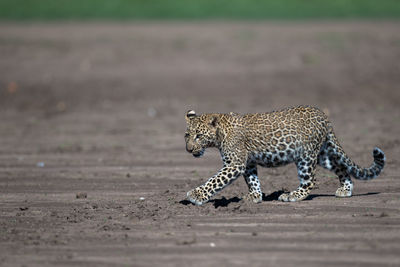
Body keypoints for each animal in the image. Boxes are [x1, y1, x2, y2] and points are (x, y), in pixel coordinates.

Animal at [184, 106, 384, 205]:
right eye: (187, 135)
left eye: (199, 135)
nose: (188, 149)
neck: (220, 135)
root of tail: (323, 115)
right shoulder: (248, 163)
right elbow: (252, 180)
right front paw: (255, 196)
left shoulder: (234, 163)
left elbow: (214, 181)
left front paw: (196, 195)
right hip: (321, 154)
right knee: (340, 166)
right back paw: (345, 190)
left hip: (305, 156)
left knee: (310, 181)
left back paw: (293, 195)